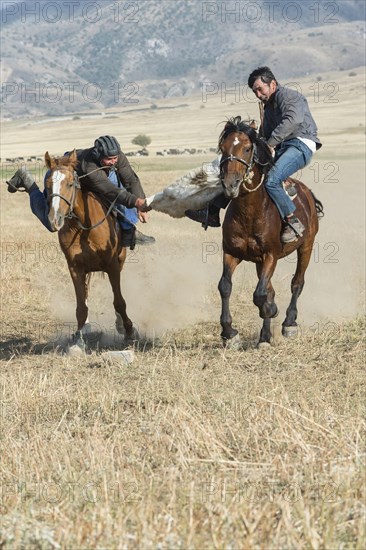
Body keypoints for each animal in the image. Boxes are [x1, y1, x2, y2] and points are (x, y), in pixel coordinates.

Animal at [44, 149, 136, 352]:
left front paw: (129, 331)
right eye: (47, 185)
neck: (84, 226)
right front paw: (79, 340)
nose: (55, 219)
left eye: (70, 183)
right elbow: (81, 307)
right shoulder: (75, 267)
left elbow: (119, 301)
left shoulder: (112, 266)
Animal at [217, 117, 324, 350]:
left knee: (297, 282)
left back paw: (289, 323)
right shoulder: (231, 253)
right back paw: (264, 337)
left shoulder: (270, 256)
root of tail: (308, 194)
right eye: (222, 148)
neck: (250, 212)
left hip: (306, 246)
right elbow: (225, 287)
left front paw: (271, 310)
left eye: (247, 148)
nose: (230, 185)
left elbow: (260, 294)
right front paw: (229, 333)